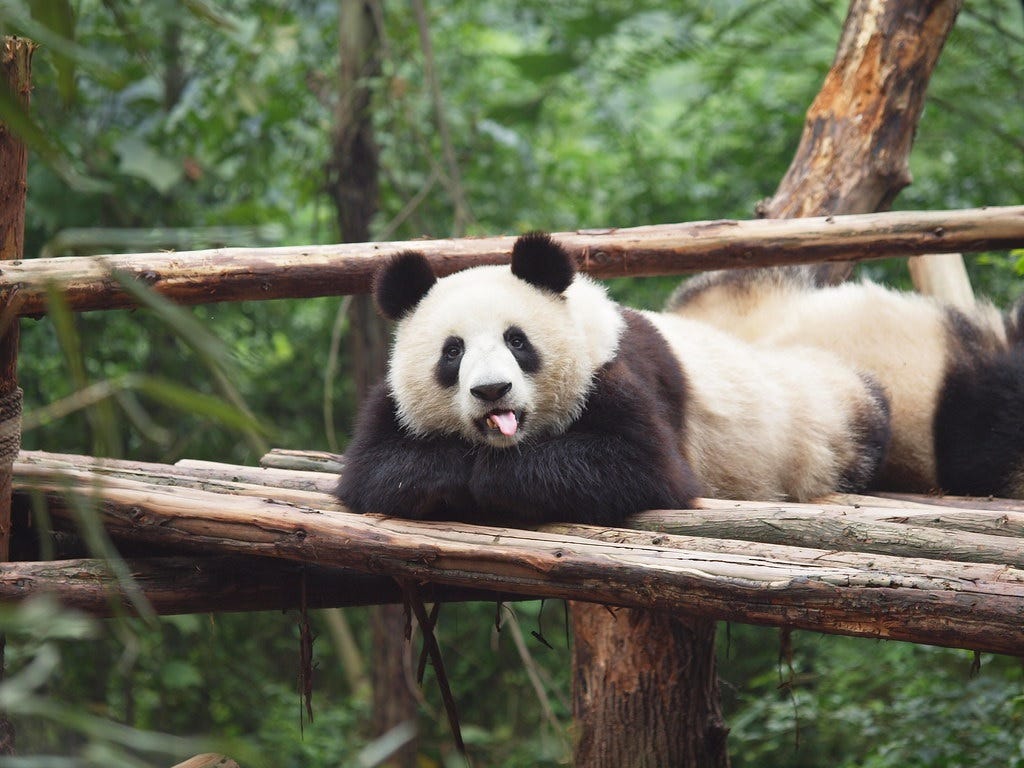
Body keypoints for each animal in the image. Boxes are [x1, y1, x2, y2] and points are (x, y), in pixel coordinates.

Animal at [336, 233, 892, 526]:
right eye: (453, 351)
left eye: (517, 341)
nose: (492, 390)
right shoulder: (392, 404)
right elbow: (375, 471)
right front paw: (453, 467)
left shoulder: (616, 374)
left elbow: (640, 468)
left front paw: (488, 476)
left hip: (816, 418)